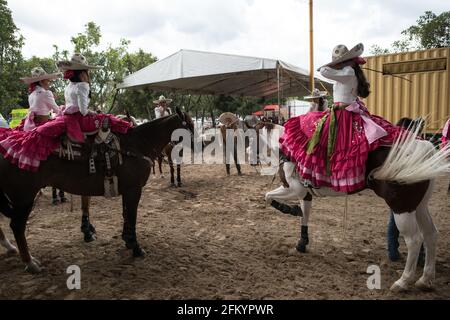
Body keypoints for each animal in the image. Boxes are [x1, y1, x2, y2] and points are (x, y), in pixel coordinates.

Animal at [0, 109, 194, 274]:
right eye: (190, 127)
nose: (196, 145)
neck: (136, 144)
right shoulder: (134, 189)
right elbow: (131, 216)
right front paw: (136, 247)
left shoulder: (127, 190)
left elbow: (125, 214)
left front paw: (127, 240)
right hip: (23, 198)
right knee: (17, 226)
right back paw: (30, 262)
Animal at [266, 125, 450, 292]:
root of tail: (423, 147)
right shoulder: (305, 193)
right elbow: (303, 215)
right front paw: (302, 243)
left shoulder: (294, 189)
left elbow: (268, 196)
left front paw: (289, 209)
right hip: (419, 206)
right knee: (430, 234)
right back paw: (425, 279)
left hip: (401, 208)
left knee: (414, 240)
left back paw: (403, 281)